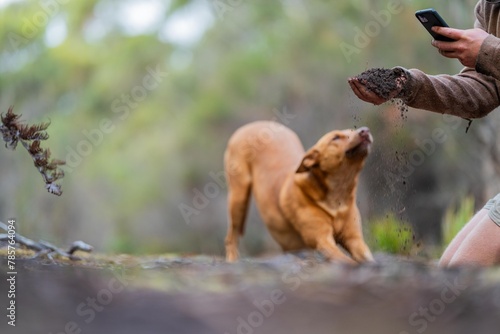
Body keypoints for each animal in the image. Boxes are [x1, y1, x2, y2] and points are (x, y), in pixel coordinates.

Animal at [225, 120, 374, 264]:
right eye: (335, 137)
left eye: (353, 130)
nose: (365, 130)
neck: (338, 195)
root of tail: (256, 124)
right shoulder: (322, 241)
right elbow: (349, 262)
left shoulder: (355, 240)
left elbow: (367, 259)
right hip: (238, 199)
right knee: (231, 237)